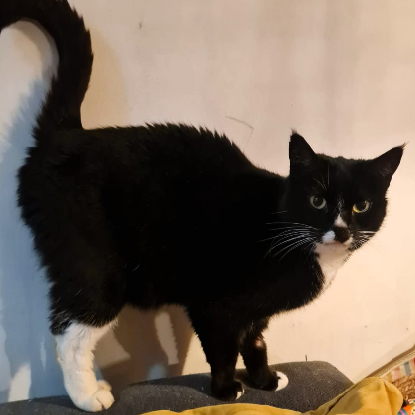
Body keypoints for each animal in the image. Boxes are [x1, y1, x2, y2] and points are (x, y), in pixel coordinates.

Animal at [0, 0, 403, 412]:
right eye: (317, 200)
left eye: (361, 205)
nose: (341, 229)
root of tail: (67, 136)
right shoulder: (214, 305)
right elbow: (223, 348)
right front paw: (226, 390)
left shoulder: (255, 312)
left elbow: (255, 341)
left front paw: (265, 380)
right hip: (95, 267)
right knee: (69, 333)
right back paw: (87, 395)